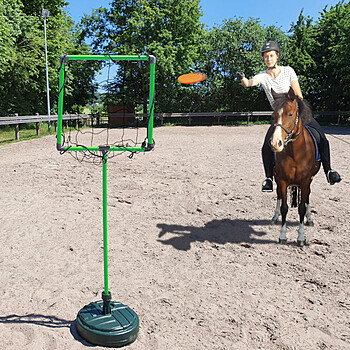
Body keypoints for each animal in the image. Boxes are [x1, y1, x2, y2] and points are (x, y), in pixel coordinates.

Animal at [270, 87, 322, 246]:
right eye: (273, 116)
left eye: (290, 114)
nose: (275, 143)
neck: (295, 154)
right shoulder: (282, 181)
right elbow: (284, 207)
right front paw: (282, 235)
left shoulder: (305, 182)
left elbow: (301, 207)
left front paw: (301, 237)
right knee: (279, 197)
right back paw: (275, 217)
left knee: (307, 198)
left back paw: (309, 219)